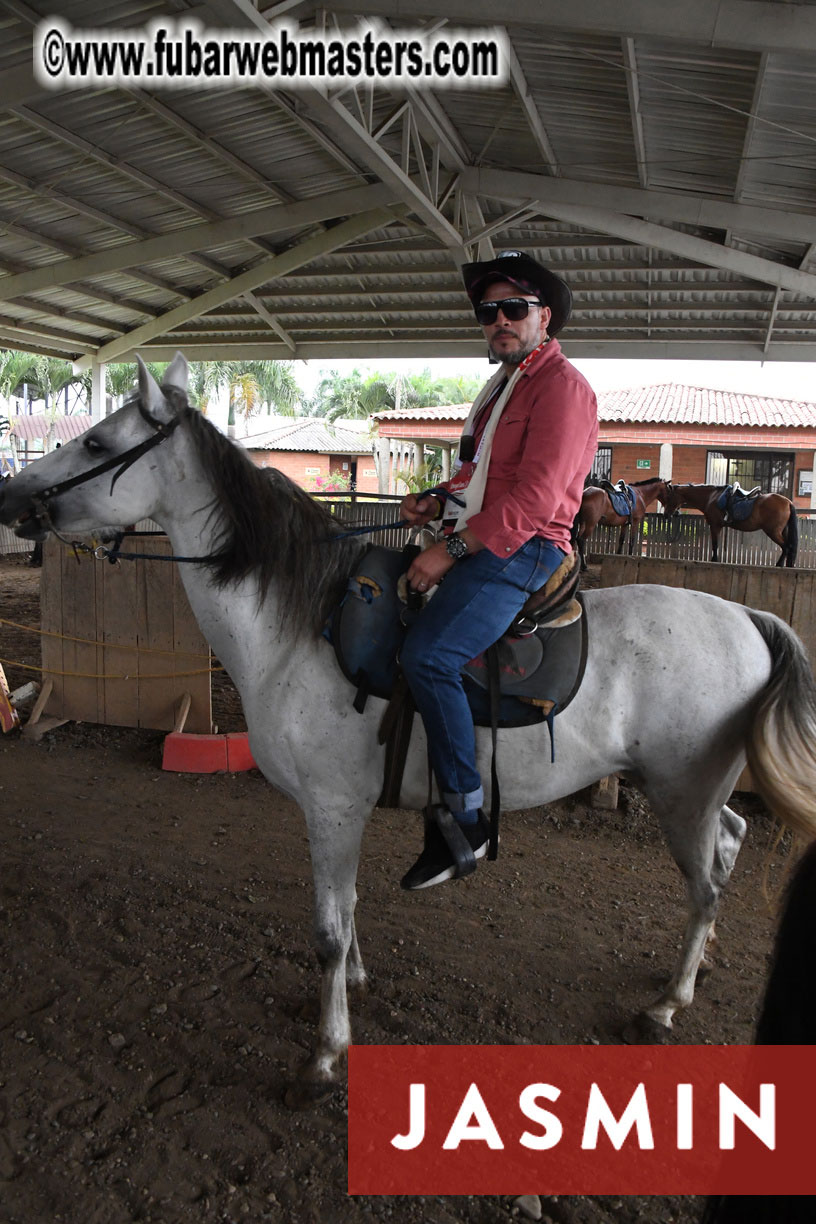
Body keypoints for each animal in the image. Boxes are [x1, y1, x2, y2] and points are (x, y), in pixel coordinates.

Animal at [665, 482, 797, 567]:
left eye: (669, 497)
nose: (667, 514)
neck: (711, 497)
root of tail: (788, 502)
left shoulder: (715, 526)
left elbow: (715, 544)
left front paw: (714, 560)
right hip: (782, 531)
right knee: (788, 547)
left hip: (773, 532)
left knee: (786, 547)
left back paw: (779, 564)